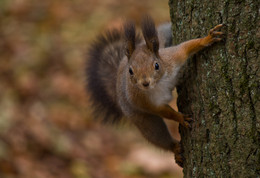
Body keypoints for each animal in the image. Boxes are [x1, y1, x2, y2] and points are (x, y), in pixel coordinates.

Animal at [86, 15, 223, 167]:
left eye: (157, 65)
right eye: (131, 71)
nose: (145, 83)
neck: (158, 83)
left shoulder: (172, 58)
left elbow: (186, 48)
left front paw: (208, 38)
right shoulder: (142, 100)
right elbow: (163, 111)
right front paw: (180, 118)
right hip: (143, 120)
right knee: (157, 136)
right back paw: (175, 148)